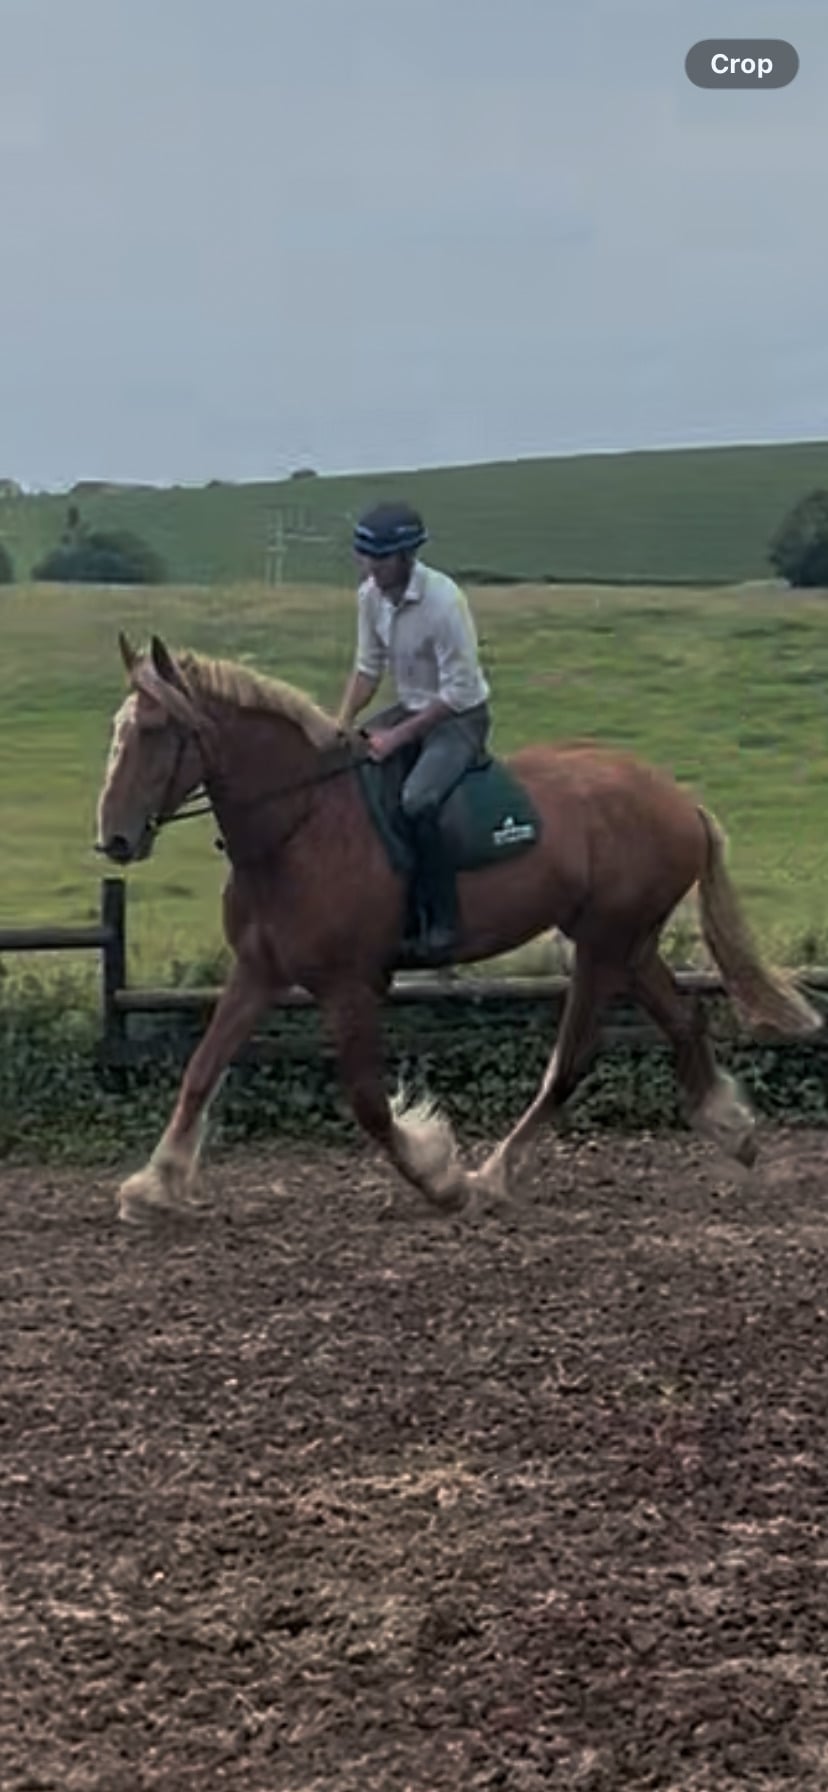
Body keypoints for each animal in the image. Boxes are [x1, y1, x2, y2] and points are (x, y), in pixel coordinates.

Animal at [95, 632, 821, 1223]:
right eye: (120, 729)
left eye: (156, 731)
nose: (115, 839)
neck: (301, 825)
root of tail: (679, 800)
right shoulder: (258, 972)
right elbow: (200, 1070)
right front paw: (154, 1186)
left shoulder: (349, 985)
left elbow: (368, 1103)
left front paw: (440, 1179)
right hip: (628, 944)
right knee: (683, 1023)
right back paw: (734, 1132)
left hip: (603, 945)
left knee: (573, 1056)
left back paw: (494, 1177)